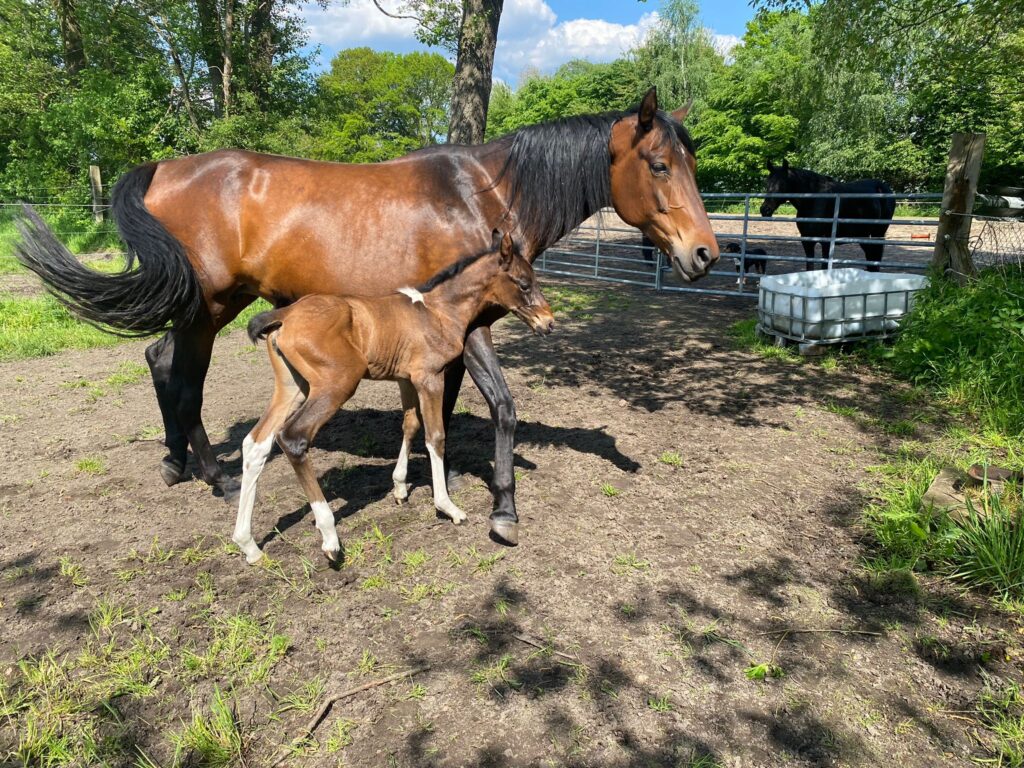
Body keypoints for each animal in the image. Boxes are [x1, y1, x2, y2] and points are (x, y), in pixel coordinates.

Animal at [231, 230, 557, 565]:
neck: (438, 311)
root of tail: (285, 314)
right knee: (293, 438)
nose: (548, 322)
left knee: (256, 444)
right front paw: (447, 507)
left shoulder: (405, 379)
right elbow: (435, 436)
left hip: (292, 386)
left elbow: (410, 425)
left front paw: (400, 487)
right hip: (337, 383)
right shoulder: (430, 377)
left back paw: (249, 546)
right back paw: (330, 538)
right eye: (523, 283)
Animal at [761, 159, 897, 274]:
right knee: (870, 256)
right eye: (767, 183)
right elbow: (809, 268)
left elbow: (824, 267)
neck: (813, 201)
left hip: (878, 233)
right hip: (862, 234)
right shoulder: (807, 241)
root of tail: (884, 188)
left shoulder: (826, 242)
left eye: (782, 184)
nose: (764, 210)